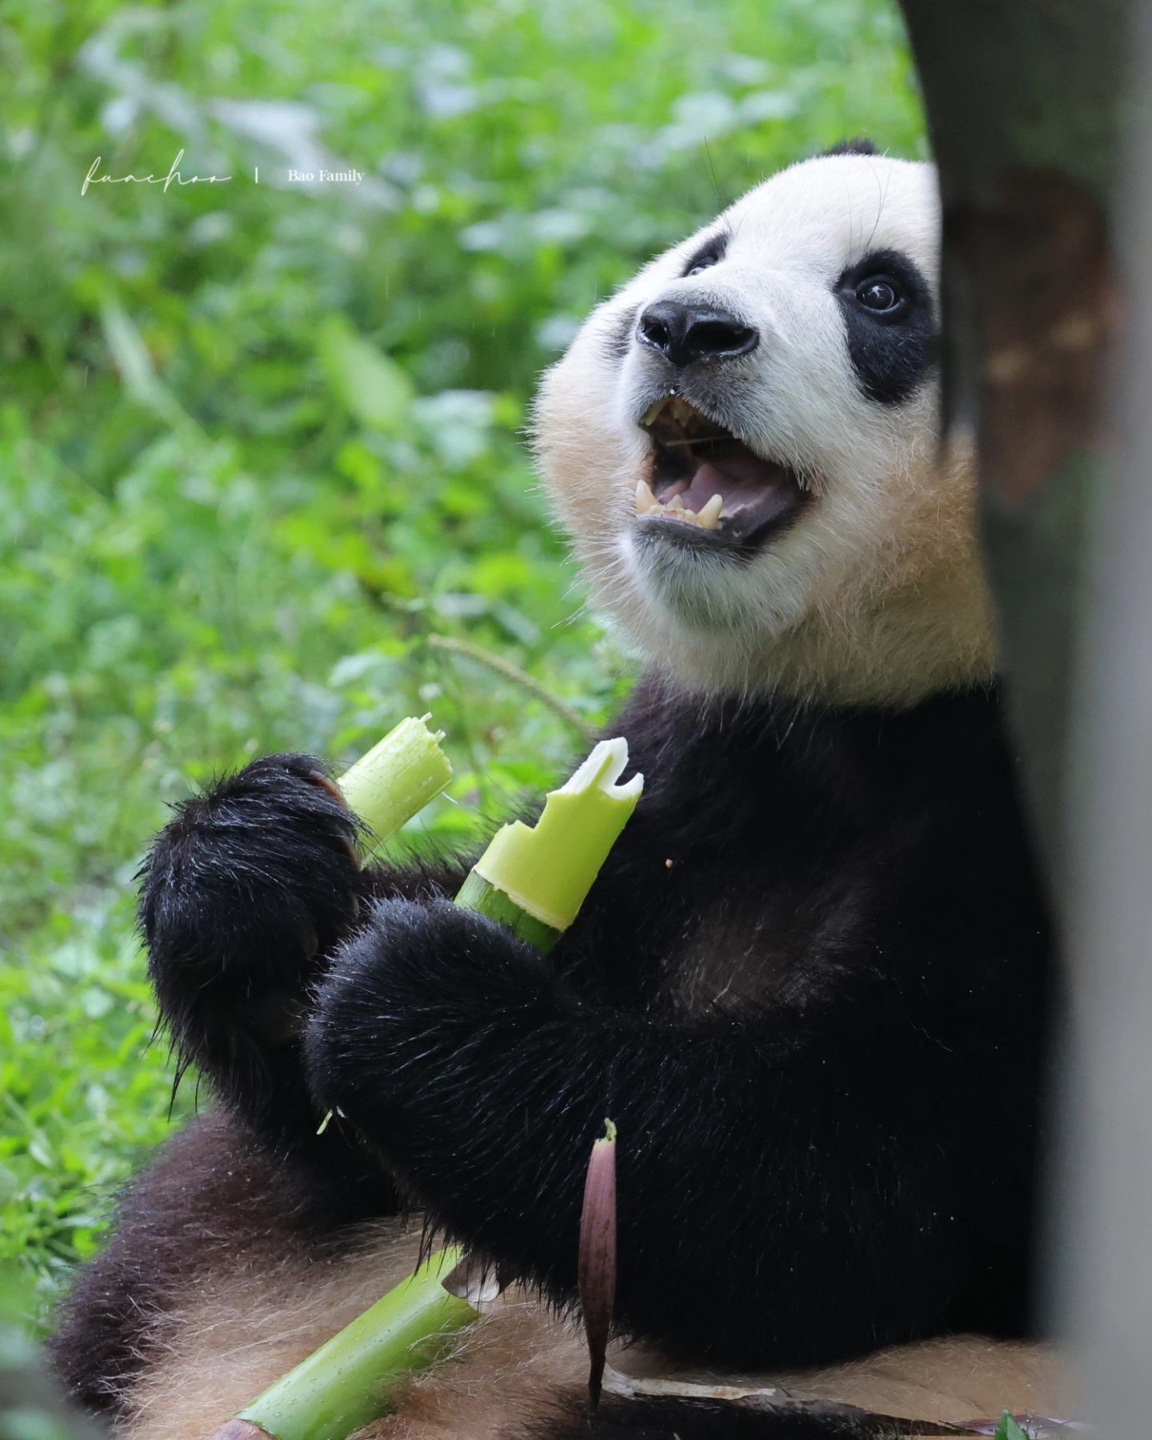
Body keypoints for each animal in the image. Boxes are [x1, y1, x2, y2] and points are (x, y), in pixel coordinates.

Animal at [49, 146, 1065, 1440]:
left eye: (881, 296)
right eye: (709, 253)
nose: (686, 327)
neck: (884, 714)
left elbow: (859, 1174)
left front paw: (417, 998)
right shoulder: (702, 763)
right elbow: (364, 1109)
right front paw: (254, 875)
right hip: (203, 1270)